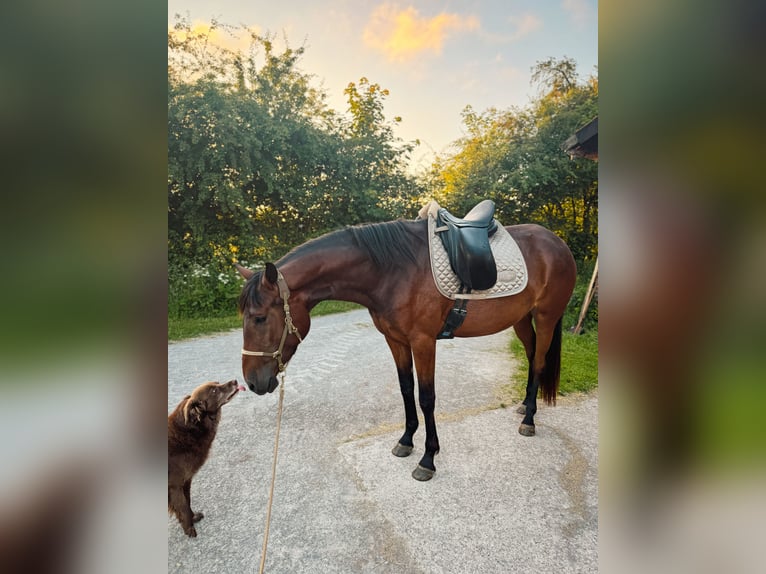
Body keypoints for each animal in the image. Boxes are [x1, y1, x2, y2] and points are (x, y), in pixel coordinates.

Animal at [170, 380, 244, 536]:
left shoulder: (186, 481)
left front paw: (193, 518)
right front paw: (189, 529)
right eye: (214, 391)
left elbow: (187, 501)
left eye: (217, 383)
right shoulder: (174, 484)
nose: (235, 381)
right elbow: (182, 507)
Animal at [236, 218, 576, 484]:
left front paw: (428, 459)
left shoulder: (423, 342)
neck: (392, 271)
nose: (252, 382)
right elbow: (405, 389)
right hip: (521, 319)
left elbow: (426, 398)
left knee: (540, 361)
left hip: (546, 318)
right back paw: (525, 406)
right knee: (532, 358)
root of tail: (557, 242)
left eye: (259, 317)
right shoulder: (396, 340)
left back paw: (529, 421)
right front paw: (406, 441)